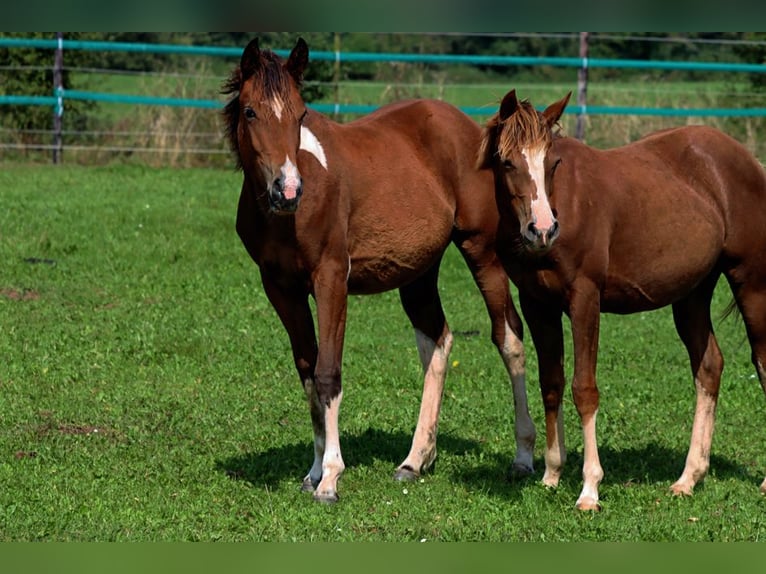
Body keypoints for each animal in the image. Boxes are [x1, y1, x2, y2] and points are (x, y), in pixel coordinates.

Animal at [220, 37, 536, 504]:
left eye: (300, 113)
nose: (288, 190)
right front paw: (313, 471)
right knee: (437, 340)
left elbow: (328, 373)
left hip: (482, 252)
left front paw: (330, 478)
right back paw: (415, 460)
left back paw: (524, 457)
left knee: (508, 337)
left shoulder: (331, 279)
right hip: (418, 271)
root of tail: (466, 129)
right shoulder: (281, 289)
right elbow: (308, 372)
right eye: (250, 111)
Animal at [480, 88, 766, 510]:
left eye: (552, 161)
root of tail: (748, 161)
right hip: (692, 294)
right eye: (506, 161)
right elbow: (551, 383)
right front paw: (551, 475)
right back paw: (688, 478)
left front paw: (589, 489)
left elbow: (584, 389)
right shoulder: (537, 304)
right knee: (709, 366)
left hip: (751, 284)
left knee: (761, 363)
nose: (543, 229)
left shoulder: (584, 298)